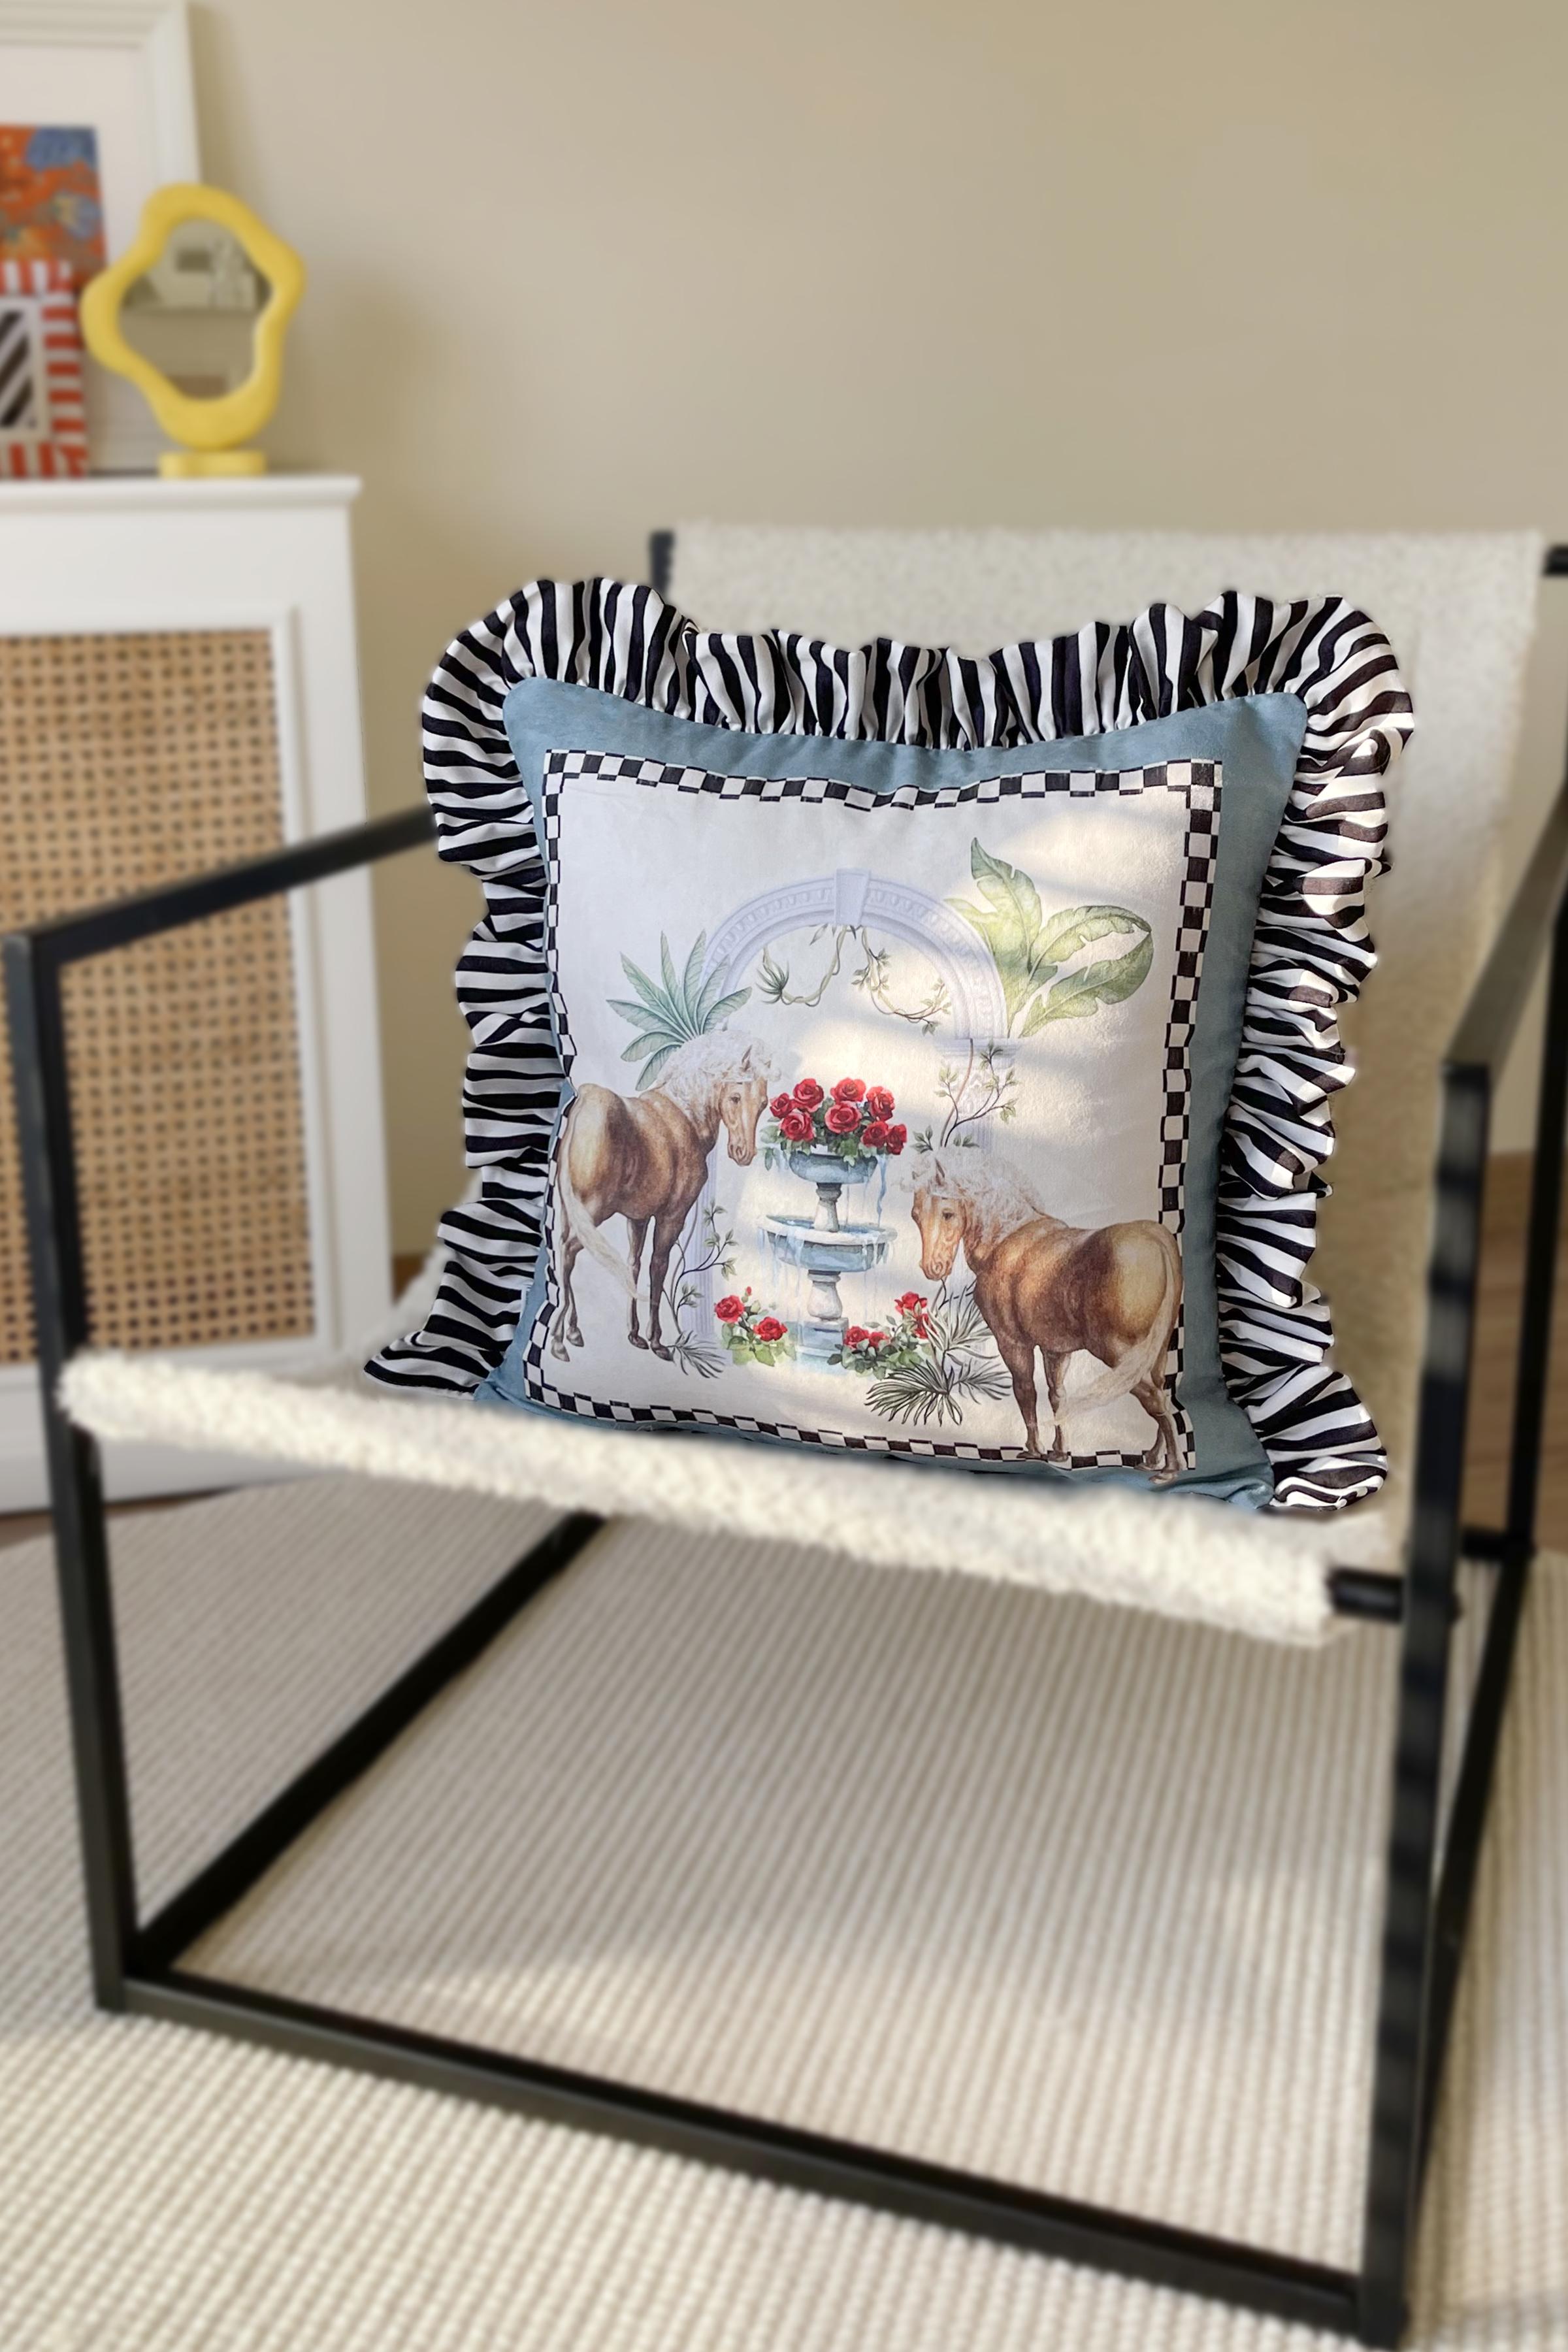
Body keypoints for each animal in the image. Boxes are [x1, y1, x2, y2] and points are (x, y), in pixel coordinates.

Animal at [551, 1032, 776, 1362]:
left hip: (571, 1214)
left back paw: (572, 1331)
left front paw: (634, 1334)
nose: (743, 1153)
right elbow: (658, 1268)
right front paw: (656, 1340)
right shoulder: (671, 1218)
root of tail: (585, 1103)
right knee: (568, 1253)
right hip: (591, 1215)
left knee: (564, 1254)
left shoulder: (639, 1218)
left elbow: (633, 1265)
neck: (684, 1116)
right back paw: (559, 1339)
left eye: (763, 1104)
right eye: (735, 1097)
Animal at [910, 1153, 1184, 1482]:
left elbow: (1026, 1392)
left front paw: (1034, 1449)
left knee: (1156, 1400)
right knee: (1162, 1395)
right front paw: (1060, 1452)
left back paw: (1170, 1468)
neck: (1006, 1240)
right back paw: (1153, 1459)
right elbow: (1057, 1397)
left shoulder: (1013, 1344)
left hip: (1120, 1354)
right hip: (1156, 1355)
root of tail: (1158, 1240)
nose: (933, 1267)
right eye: (915, 1215)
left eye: (948, 1213)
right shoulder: (1056, 1351)